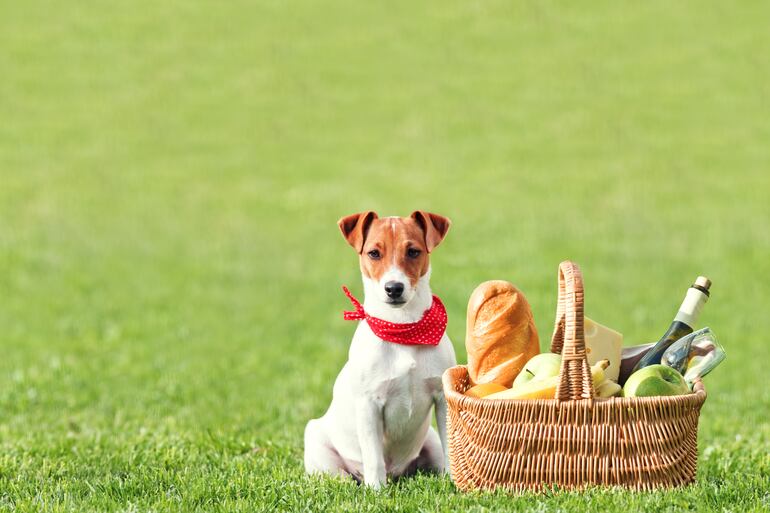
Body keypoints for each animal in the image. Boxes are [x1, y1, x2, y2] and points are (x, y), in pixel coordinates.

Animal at [302, 210, 456, 486]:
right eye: (374, 253)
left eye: (413, 251)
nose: (394, 288)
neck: (403, 330)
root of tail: (398, 474)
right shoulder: (369, 405)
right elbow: (373, 457)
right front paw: (376, 491)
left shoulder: (442, 398)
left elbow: (452, 446)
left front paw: (455, 484)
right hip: (318, 443)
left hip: (429, 439)